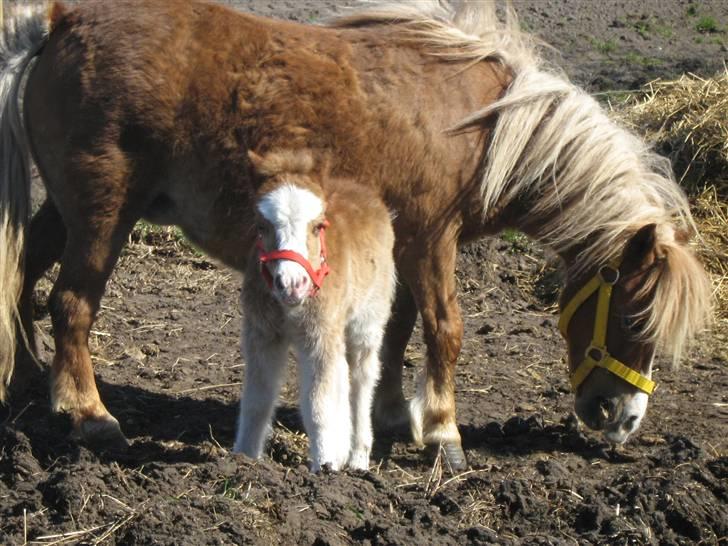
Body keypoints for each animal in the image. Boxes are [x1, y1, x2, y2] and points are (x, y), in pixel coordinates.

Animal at [235, 151, 396, 470]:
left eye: (318, 226)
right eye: (261, 226)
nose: (292, 284)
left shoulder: (319, 335)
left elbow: (317, 404)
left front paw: (324, 465)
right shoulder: (262, 334)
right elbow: (257, 399)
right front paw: (243, 458)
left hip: (367, 320)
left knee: (362, 378)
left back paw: (358, 458)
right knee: (342, 373)